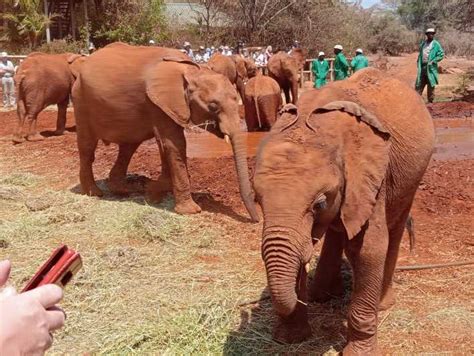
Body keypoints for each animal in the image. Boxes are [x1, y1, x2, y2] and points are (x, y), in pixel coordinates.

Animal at [71, 43, 260, 222]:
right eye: (213, 106)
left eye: (236, 100)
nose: (256, 219)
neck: (192, 71)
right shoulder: (157, 102)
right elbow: (174, 143)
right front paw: (189, 210)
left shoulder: (167, 106)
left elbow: (167, 144)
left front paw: (154, 190)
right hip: (81, 100)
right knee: (88, 148)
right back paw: (94, 192)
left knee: (128, 146)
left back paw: (125, 189)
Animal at [254, 68, 436, 354]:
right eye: (257, 200)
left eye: (318, 204)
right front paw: (290, 338)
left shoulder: (372, 176)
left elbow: (368, 250)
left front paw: (358, 351)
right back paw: (323, 295)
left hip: (412, 176)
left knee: (393, 228)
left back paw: (381, 303)